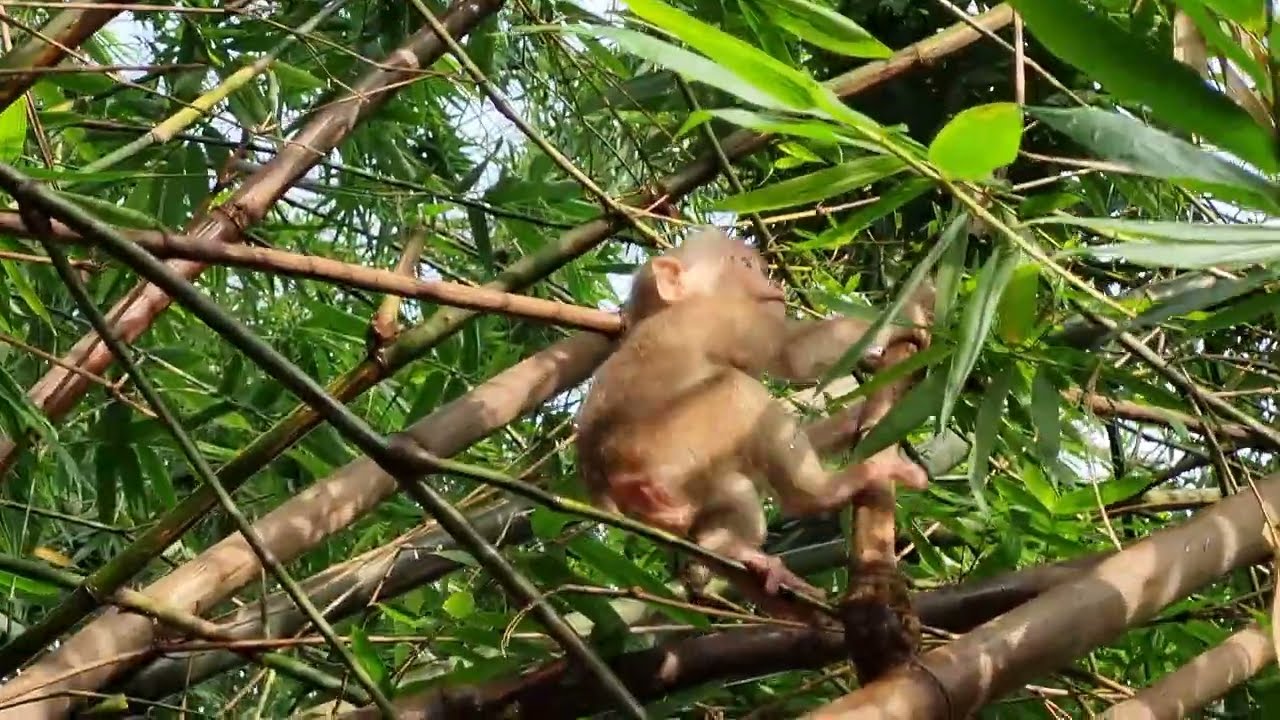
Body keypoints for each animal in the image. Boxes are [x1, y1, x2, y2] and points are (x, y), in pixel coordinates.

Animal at [575, 228, 931, 616]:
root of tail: (609, 483)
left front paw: (856, 417)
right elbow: (793, 352)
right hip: (670, 443)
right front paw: (910, 313)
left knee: (732, 490)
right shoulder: (731, 315)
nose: (771, 281)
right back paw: (824, 491)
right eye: (745, 265)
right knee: (740, 392)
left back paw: (730, 549)